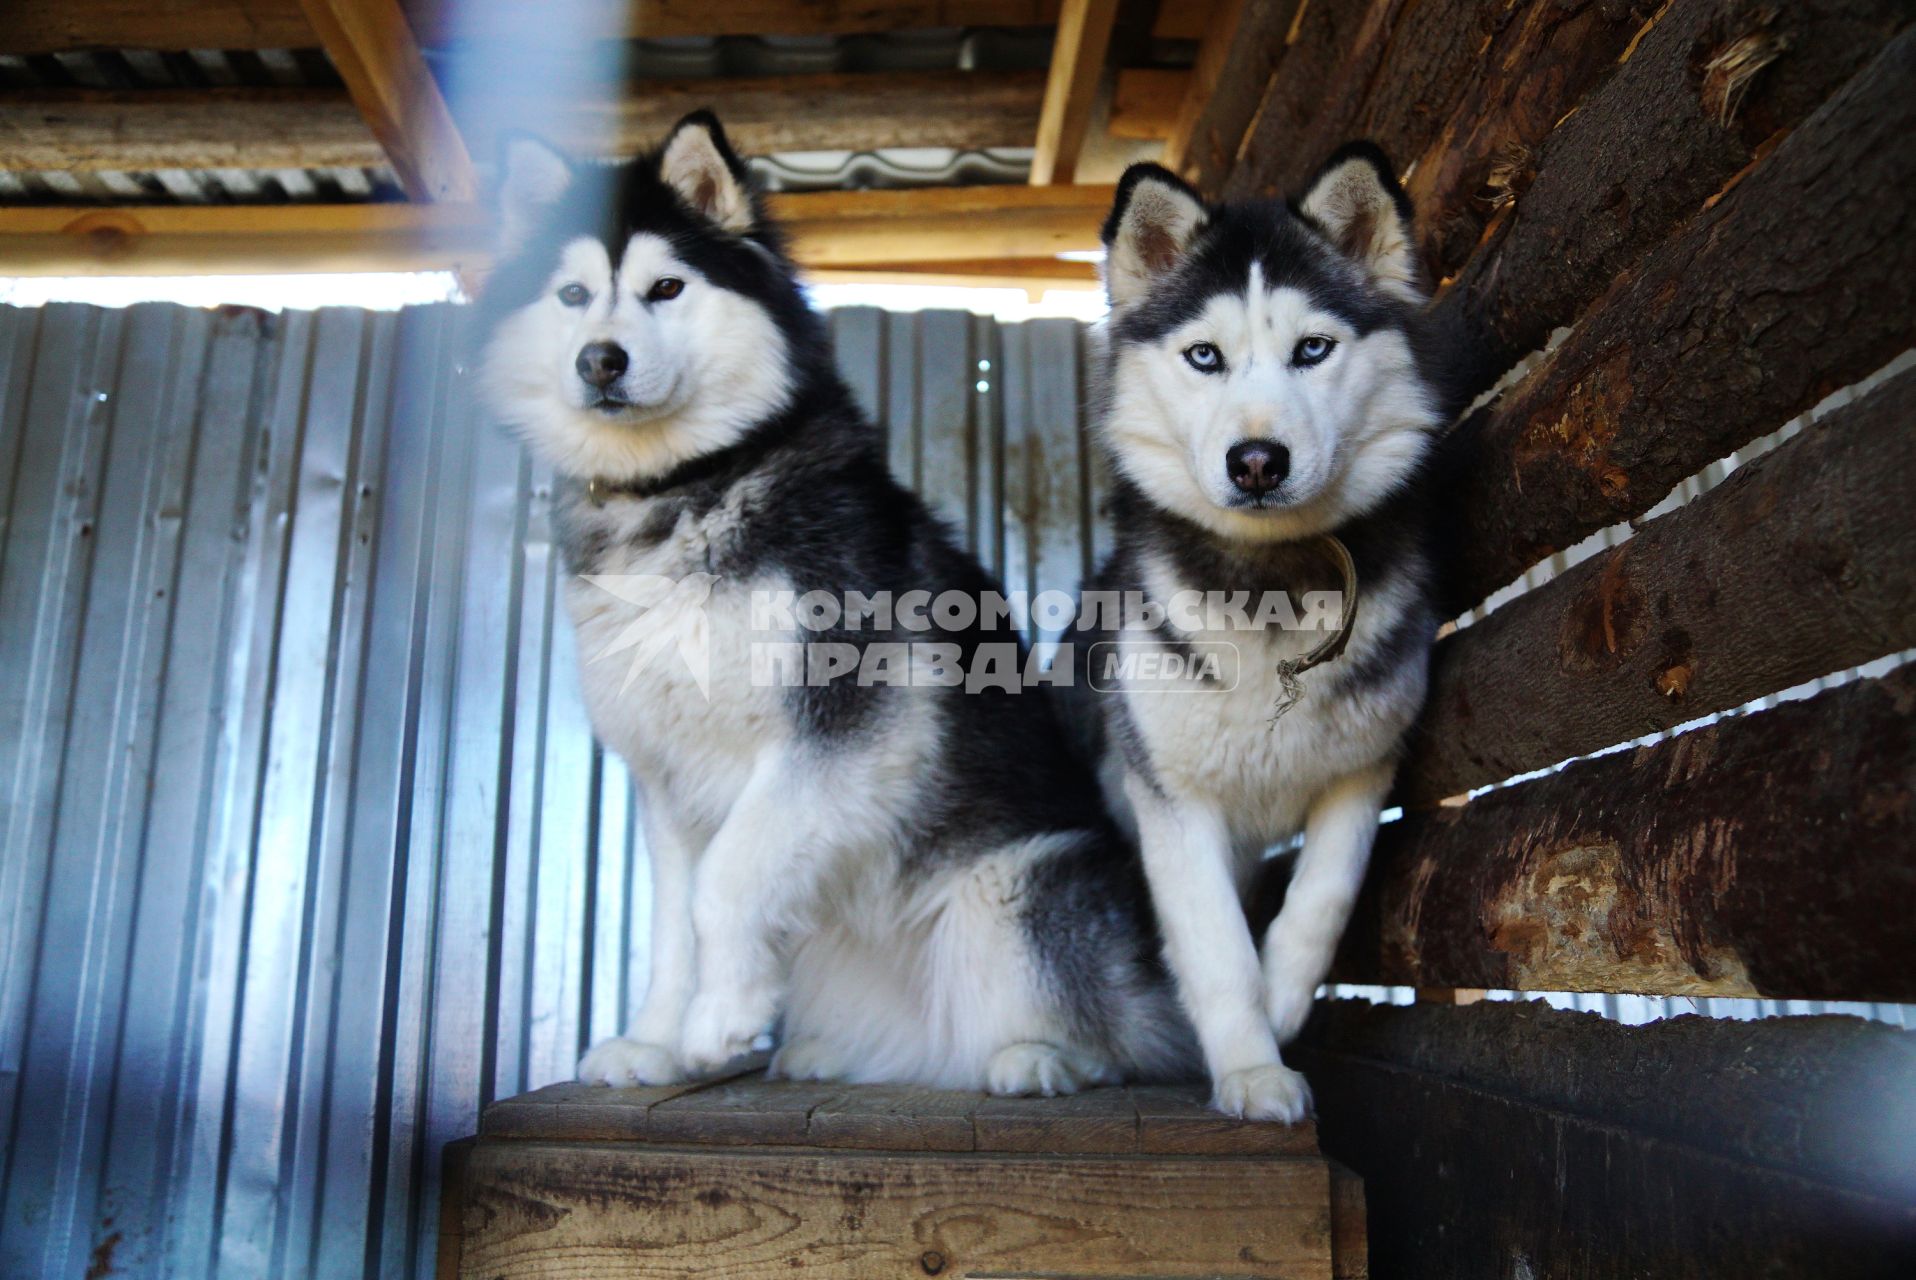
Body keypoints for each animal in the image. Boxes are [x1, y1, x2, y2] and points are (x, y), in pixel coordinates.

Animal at [477, 112, 1187, 1088]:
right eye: (573, 295)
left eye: (666, 288)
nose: (600, 361)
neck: (683, 488)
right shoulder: (665, 777)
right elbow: (671, 924)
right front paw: (657, 1042)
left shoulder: (847, 727)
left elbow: (724, 882)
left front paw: (721, 1020)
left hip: (1018, 888)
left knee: (1126, 1042)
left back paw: (1041, 1059)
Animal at [1088, 150, 1440, 1119]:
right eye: (1204, 356)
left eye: (1312, 349)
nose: (1256, 461)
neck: (1272, 583)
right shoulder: (1169, 793)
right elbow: (1214, 946)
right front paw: (1251, 1070)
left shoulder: (1366, 765)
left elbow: (1323, 896)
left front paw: (1282, 1004)